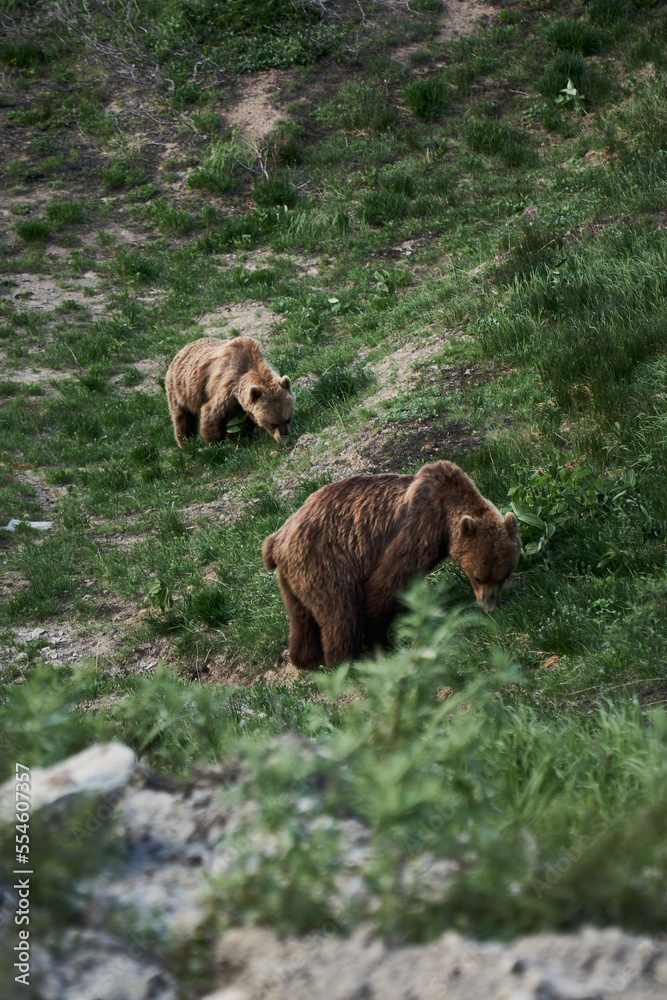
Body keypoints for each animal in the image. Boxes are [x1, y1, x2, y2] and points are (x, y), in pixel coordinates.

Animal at [166, 336, 294, 446]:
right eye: (272, 423)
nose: (284, 439)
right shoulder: (227, 387)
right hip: (181, 390)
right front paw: (215, 444)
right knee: (183, 419)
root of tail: (181, 350)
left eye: (288, 419)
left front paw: (247, 436)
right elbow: (213, 414)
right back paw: (186, 443)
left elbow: (243, 421)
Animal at [260, 462, 520, 672]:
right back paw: (349, 659)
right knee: (340, 609)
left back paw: (309, 660)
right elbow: (388, 580)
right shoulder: (420, 524)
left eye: (502, 576)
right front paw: (382, 639)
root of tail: (276, 540)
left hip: (293, 578)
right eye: (478, 577)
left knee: (301, 618)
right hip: (325, 560)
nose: (489, 607)